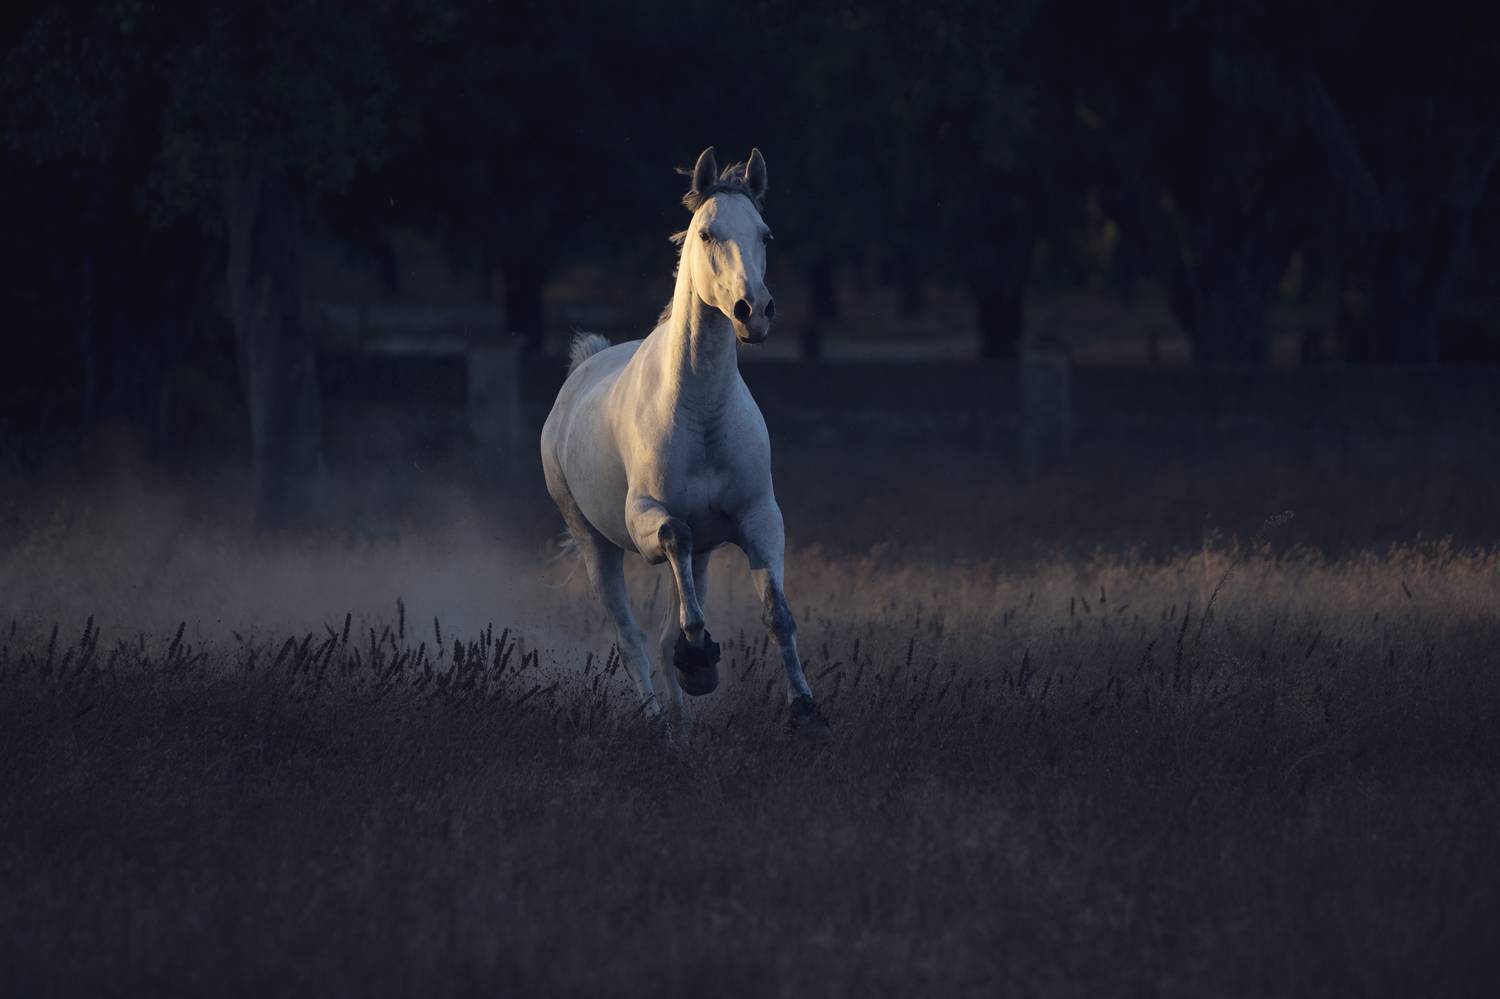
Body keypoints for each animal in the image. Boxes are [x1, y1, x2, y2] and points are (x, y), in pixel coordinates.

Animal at [540, 146, 826, 735]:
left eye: (765, 234)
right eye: (708, 233)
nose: (753, 311)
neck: (701, 415)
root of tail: (580, 372)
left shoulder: (758, 518)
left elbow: (778, 614)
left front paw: (805, 710)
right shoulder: (647, 519)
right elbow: (674, 538)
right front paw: (699, 659)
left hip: (705, 554)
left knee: (666, 626)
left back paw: (681, 725)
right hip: (594, 543)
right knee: (631, 639)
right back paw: (658, 722)